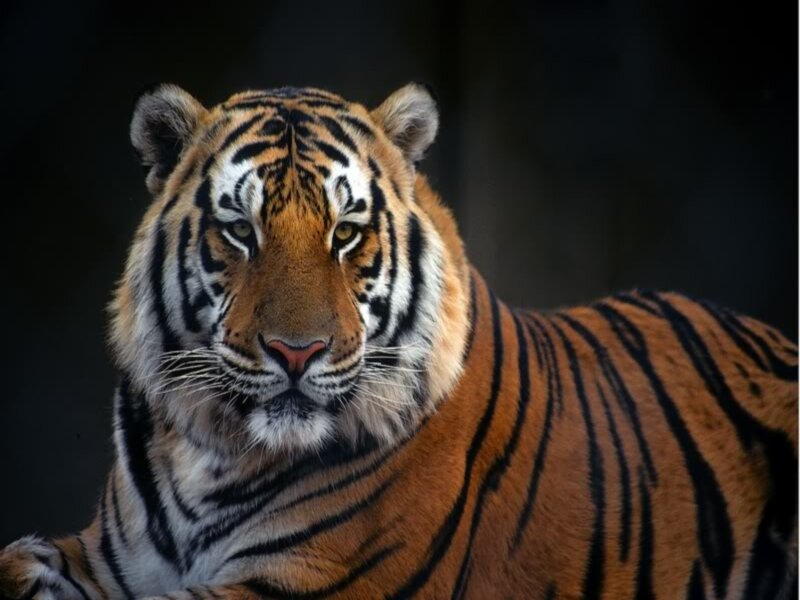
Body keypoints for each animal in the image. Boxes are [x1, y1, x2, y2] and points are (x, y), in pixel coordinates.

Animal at [0, 81, 796, 600]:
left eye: (346, 234)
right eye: (240, 231)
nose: (296, 352)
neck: (211, 450)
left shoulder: (310, 587)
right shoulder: (104, 557)